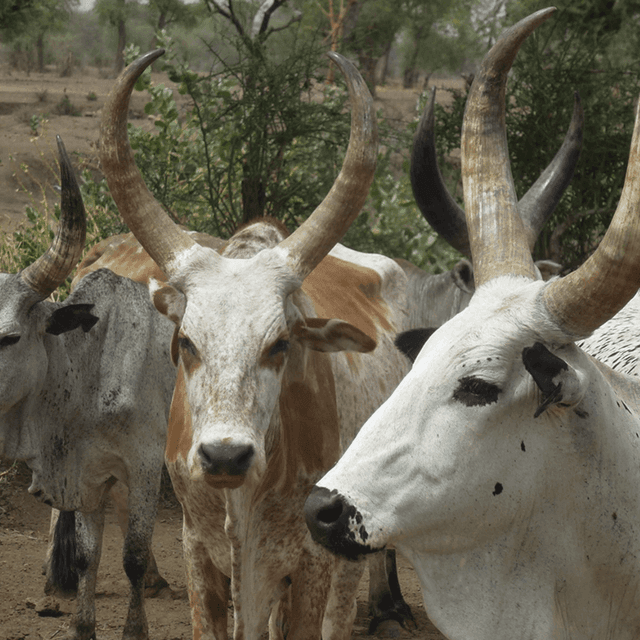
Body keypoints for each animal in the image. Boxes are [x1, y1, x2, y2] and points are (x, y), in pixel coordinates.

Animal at [0, 136, 176, 640]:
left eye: (9, 338)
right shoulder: (86, 476)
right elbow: (86, 557)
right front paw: (82, 625)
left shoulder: (144, 467)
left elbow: (130, 557)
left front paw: (135, 629)